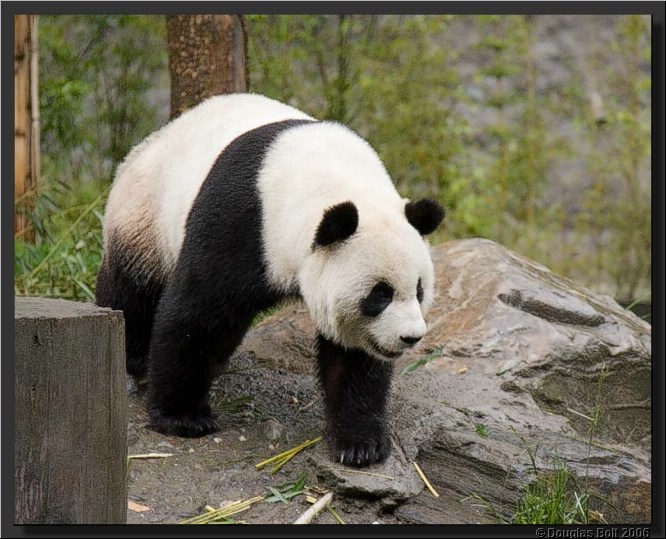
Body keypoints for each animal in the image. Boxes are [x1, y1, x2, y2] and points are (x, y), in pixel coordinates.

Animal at [96, 93, 444, 468]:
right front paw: (183, 417)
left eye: (419, 290)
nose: (410, 337)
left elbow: (354, 355)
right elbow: (196, 312)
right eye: (379, 295)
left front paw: (359, 444)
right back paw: (133, 358)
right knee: (133, 291)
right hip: (144, 216)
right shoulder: (243, 219)